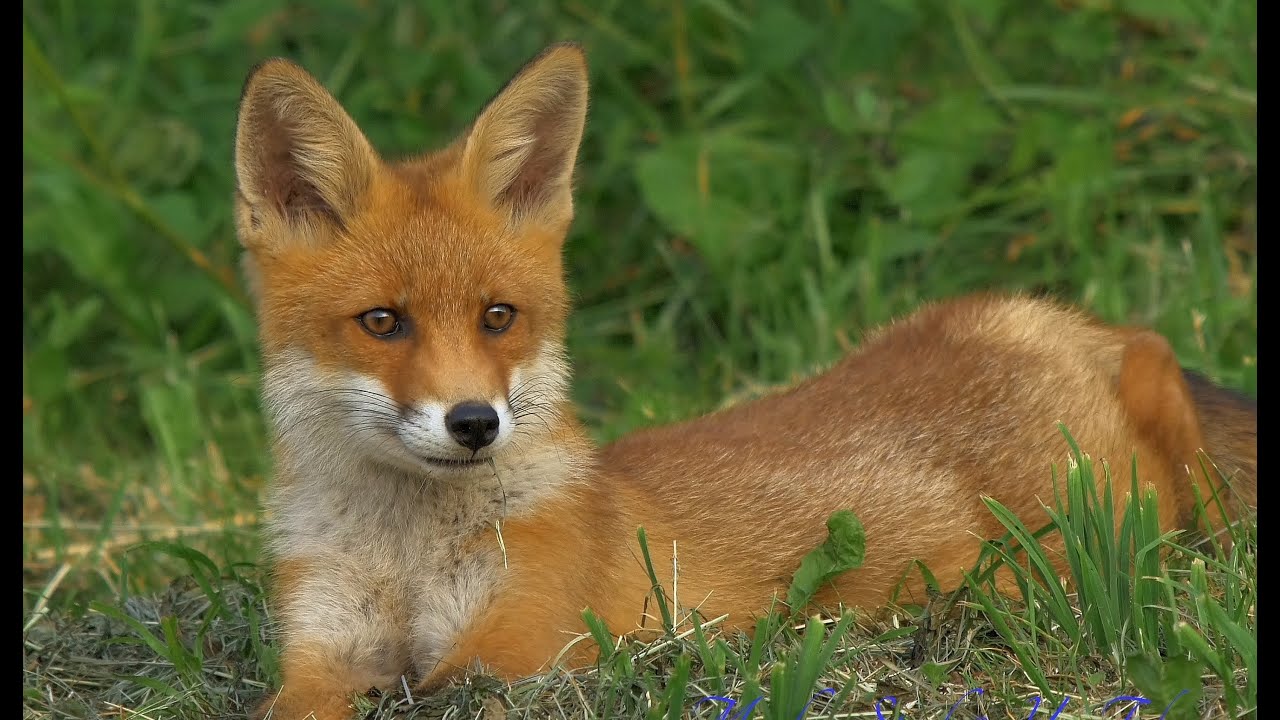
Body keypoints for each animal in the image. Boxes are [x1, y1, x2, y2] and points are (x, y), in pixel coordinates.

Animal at [234, 43, 1257, 720]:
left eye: (497, 317)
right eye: (383, 323)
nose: (475, 422)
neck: (405, 559)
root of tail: (1041, 317)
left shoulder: (527, 647)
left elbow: (443, 687)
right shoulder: (321, 652)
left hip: (1134, 487)